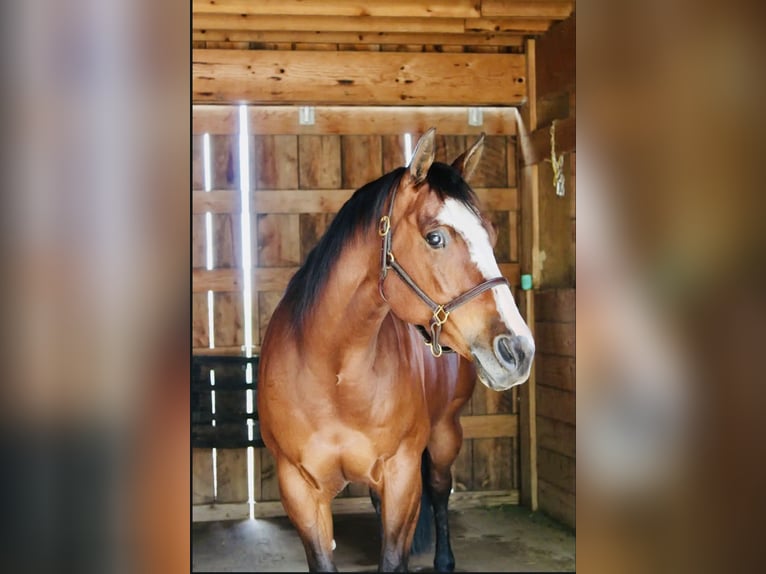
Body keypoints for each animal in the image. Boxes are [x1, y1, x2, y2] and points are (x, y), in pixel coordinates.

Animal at [257, 128, 535, 572]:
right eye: (435, 237)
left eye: (491, 235)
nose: (519, 350)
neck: (334, 374)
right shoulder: (299, 489)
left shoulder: (402, 477)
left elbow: (396, 554)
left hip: (445, 435)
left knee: (439, 490)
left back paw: (444, 560)